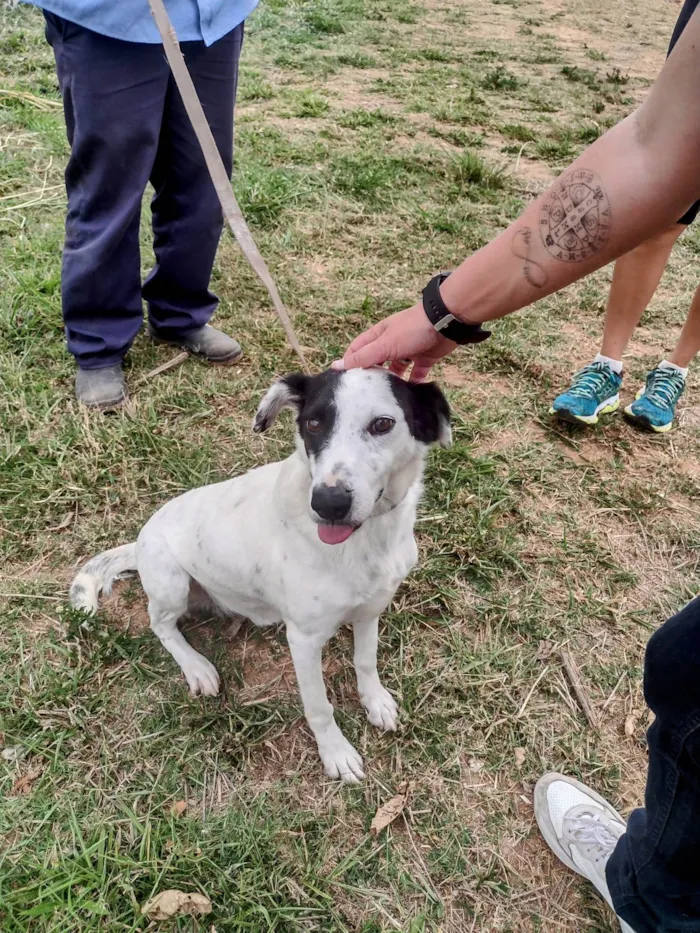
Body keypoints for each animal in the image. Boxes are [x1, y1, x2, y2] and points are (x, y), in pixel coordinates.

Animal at [69, 368, 448, 784]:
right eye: (313, 423)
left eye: (382, 424)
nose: (327, 504)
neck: (367, 540)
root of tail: (138, 544)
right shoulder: (303, 639)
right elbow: (319, 706)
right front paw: (335, 752)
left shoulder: (371, 609)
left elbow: (365, 661)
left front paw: (375, 701)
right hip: (171, 580)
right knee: (160, 624)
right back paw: (196, 666)